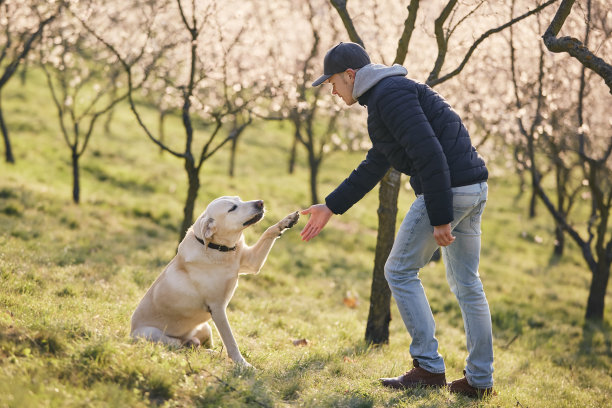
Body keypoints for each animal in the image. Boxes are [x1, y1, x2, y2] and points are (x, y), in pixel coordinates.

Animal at [130, 196, 300, 368]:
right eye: (232, 208)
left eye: (239, 199)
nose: (260, 202)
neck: (218, 248)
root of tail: (130, 332)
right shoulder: (217, 308)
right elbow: (230, 341)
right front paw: (243, 364)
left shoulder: (252, 262)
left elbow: (268, 232)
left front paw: (287, 221)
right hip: (150, 333)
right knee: (182, 346)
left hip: (205, 328)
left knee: (196, 345)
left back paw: (208, 350)